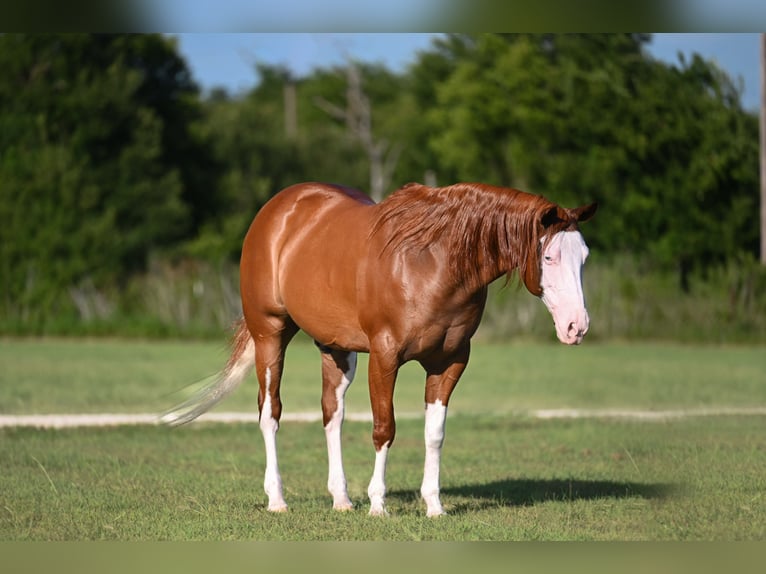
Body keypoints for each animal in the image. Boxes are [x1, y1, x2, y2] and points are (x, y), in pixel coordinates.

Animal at [162, 181, 597, 517]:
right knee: (270, 413)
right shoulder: (386, 358)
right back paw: (278, 499)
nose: (576, 327)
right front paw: (378, 504)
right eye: (548, 256)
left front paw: (434, 505)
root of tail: (276, 210)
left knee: (332, 415)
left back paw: (341, 499)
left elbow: (434, 434)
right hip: (270, 333)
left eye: (584, 258)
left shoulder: (450, 361)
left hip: (336, 349)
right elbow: (384, 429)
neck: (432, 262)